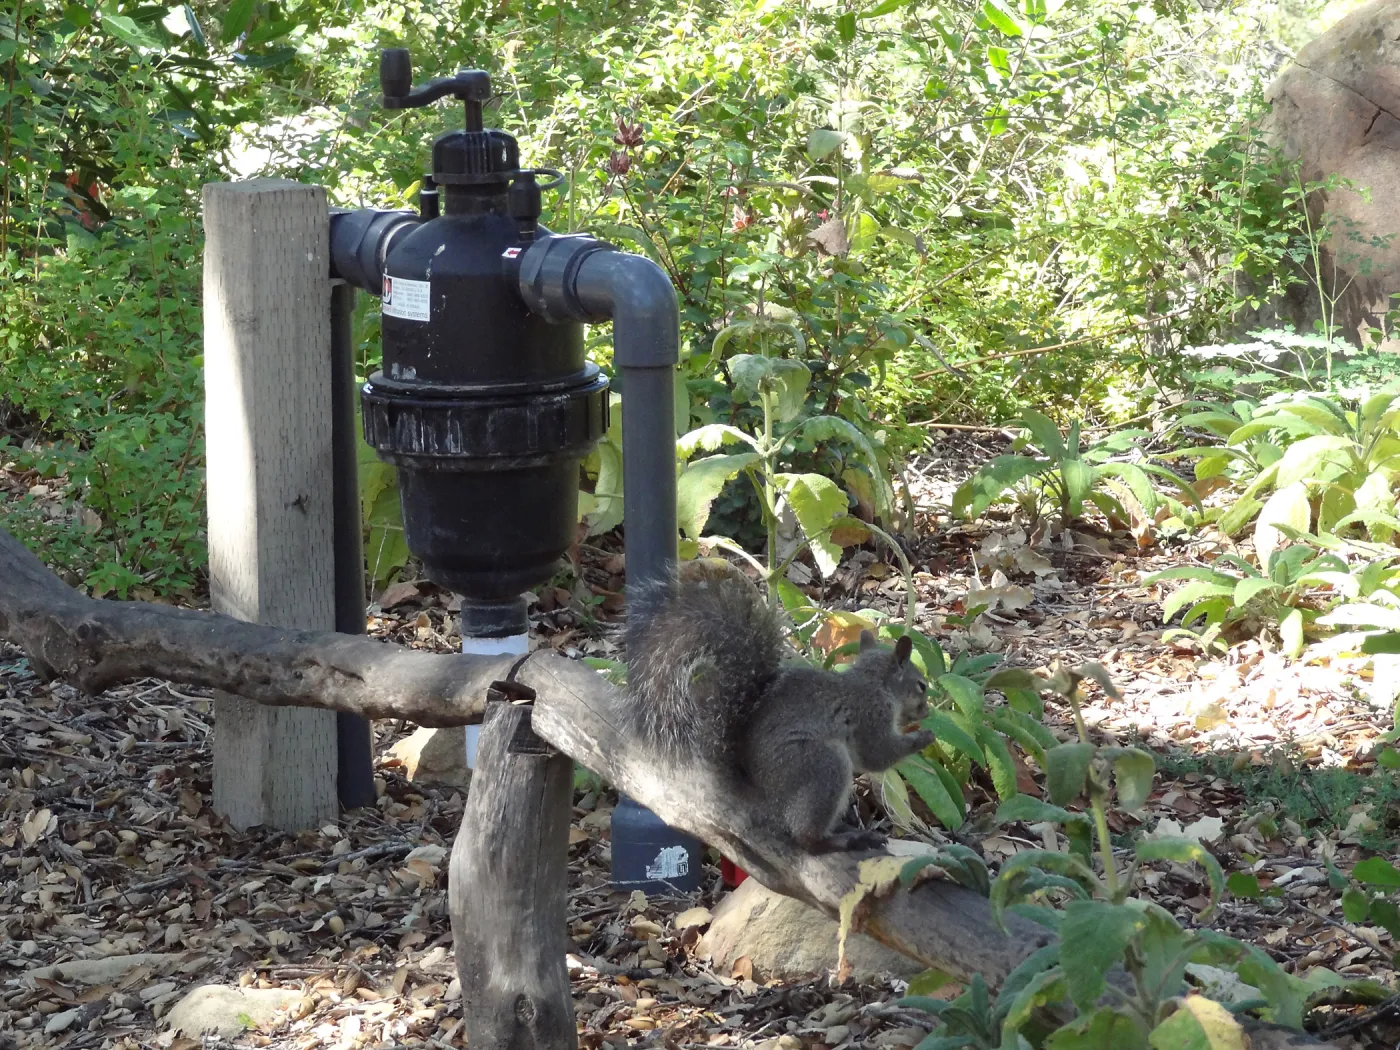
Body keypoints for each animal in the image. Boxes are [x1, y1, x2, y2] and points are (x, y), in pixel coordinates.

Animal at [623, 558, 934, 853]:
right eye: (921, 685)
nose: (927, 712)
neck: (875, 682)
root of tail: (763, 800)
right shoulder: (872, 712)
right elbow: (877, 755)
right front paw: (923, 737)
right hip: (820, 764)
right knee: (806, 839)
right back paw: (844, 840)